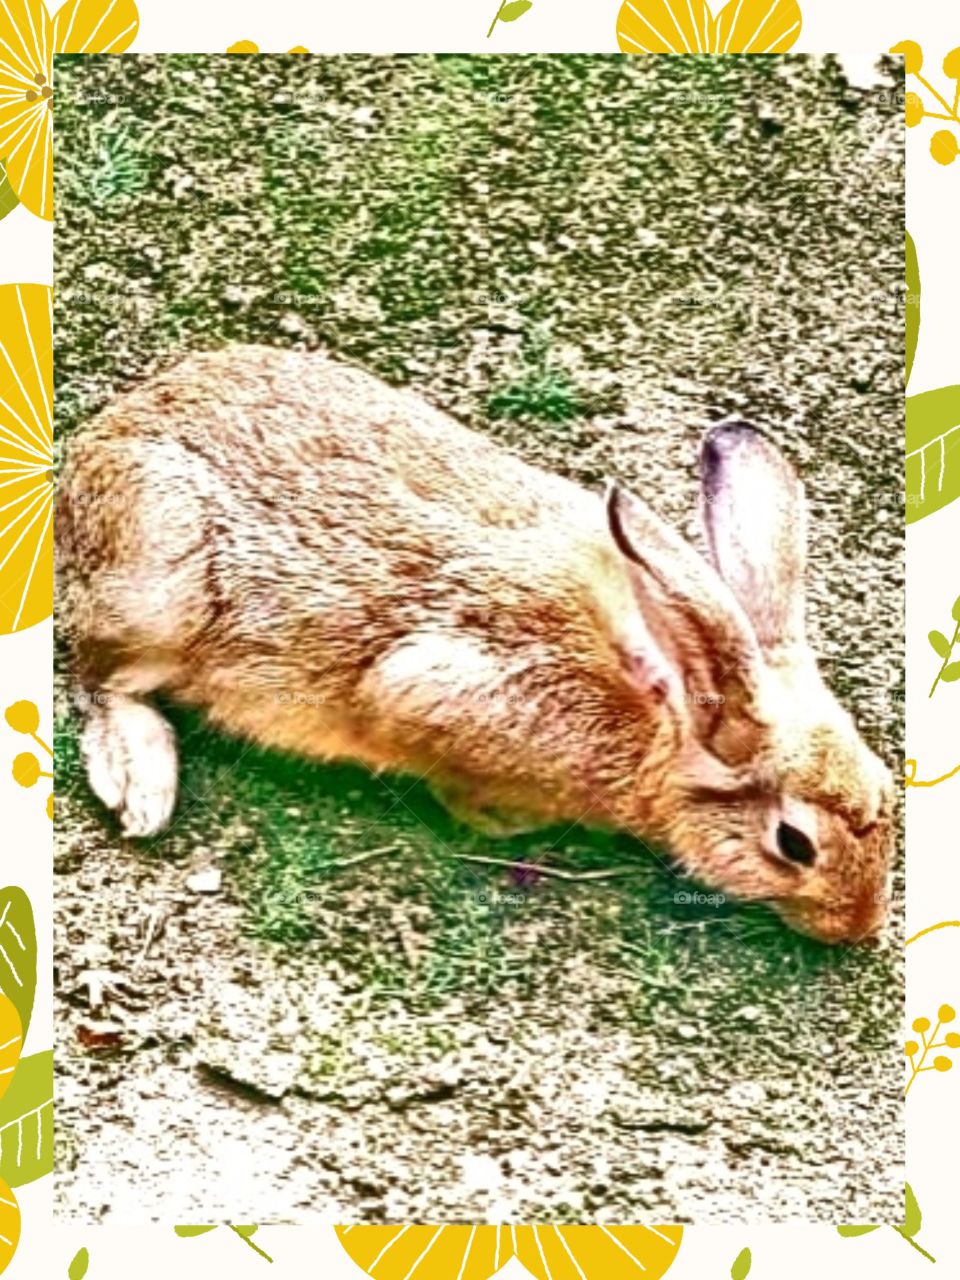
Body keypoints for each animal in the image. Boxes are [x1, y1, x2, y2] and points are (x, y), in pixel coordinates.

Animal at [56, 345, 894, 944]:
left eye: (889, 788)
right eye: (794, 844)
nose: (859, 926)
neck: (662, 714)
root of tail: (98, 444)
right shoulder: (431, 692)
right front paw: (507, 824)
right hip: (159, 589)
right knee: (97, 676)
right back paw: (140, 782)